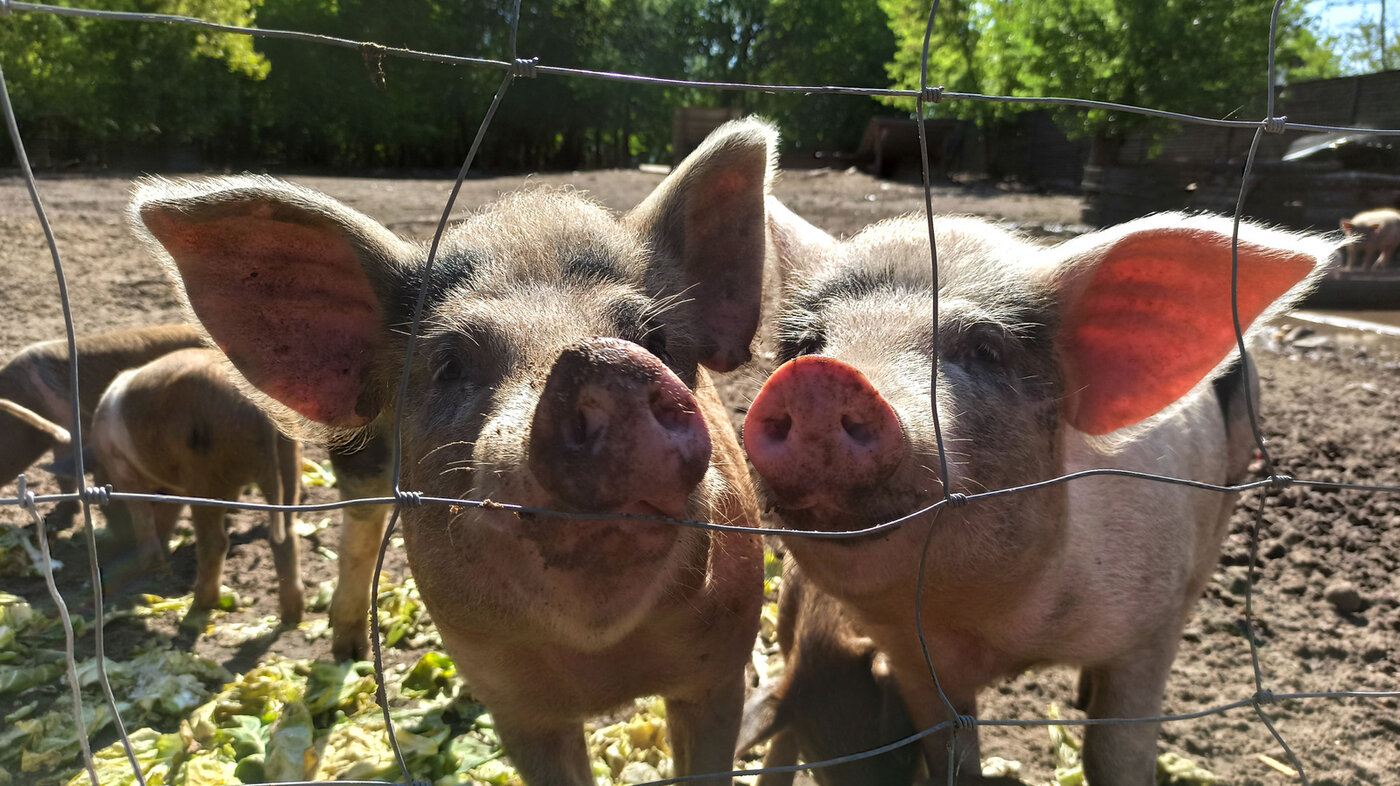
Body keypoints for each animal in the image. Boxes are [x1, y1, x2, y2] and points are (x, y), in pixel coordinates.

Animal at [128, 117, 778, 784]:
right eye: (449, 364)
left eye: (655, 339)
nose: (607, 363)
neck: (604, 663)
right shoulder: (517, 710)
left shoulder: (720, 670)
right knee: (359, 532)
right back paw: (346, 647)